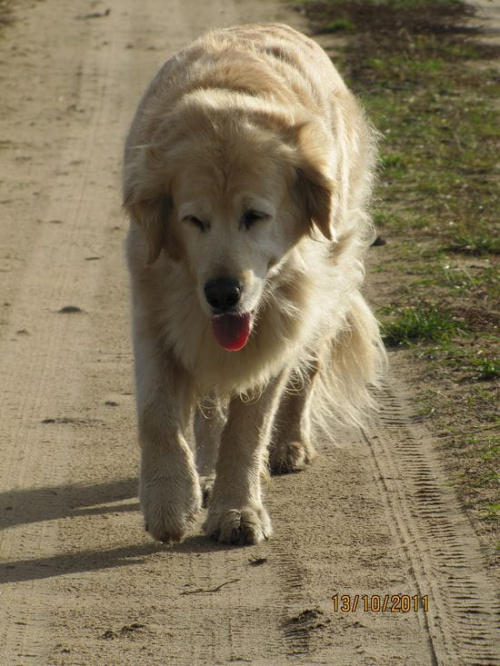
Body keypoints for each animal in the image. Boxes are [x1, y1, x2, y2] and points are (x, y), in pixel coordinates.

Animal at [123, 24, 384, 544]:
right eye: (194, 220)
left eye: (255, 216)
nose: (223, 294)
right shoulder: (153, 308)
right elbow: (158, 413)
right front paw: (168, 500)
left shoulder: (278, 325)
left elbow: (248, 427)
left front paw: (238, 509)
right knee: (207, 403)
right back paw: (204, 472)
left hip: (329, 285)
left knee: (308, 370)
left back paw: (288, 445)